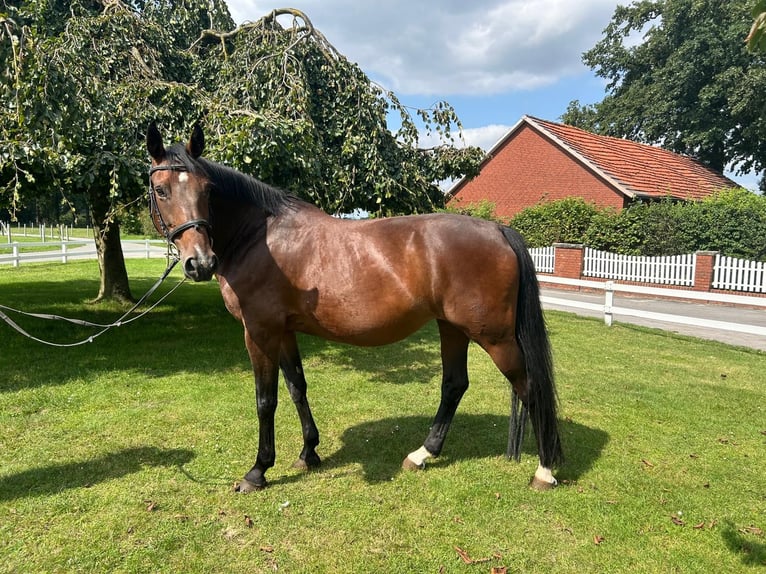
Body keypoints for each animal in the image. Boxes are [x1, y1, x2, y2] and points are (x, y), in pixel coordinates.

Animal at [147, 124, 564, 492]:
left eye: (207, 190)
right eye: (161, 189)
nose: (200, 263)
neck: (259, 238)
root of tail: (498, 230)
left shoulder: (260, 331)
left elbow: (266, 400)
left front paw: (258, 471)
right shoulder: (284, 331)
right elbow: (297, 387)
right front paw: (309, 453)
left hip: (495, 338)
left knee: (529, 387)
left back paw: (544, 471)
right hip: (452, 328)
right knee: (454, 385)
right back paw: (422, 454)